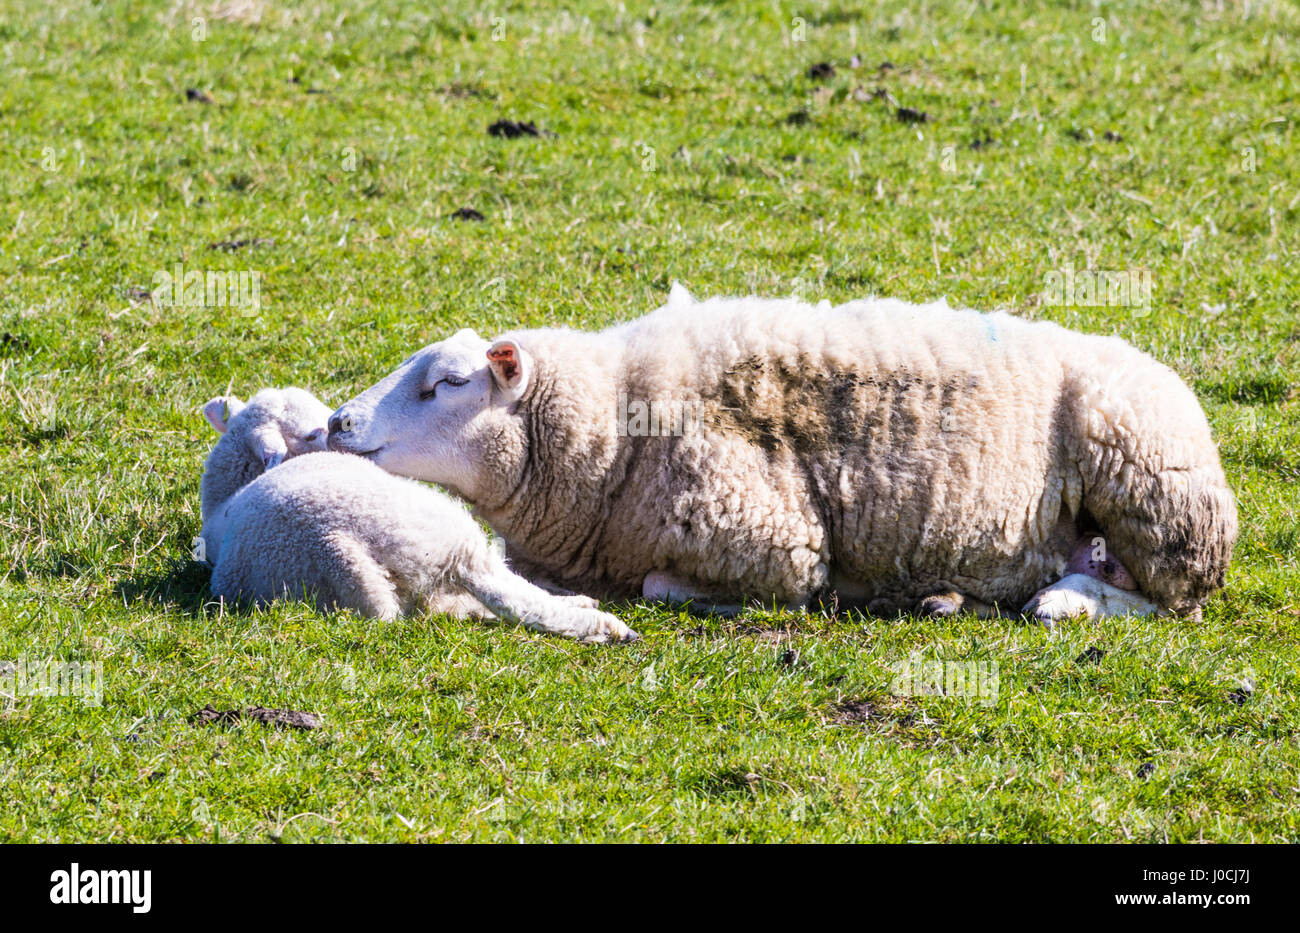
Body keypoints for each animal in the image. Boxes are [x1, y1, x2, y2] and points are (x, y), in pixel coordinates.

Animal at [198, 387, 637, 643]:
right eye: (310, 434)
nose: (339, 427)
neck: (223, 504)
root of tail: (338, 545)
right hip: (451, 535)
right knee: (514, 596)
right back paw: (600, 621)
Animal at [327, 285, 1238, 623]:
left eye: (446, 383)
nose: (337, 422)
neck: (614, 430)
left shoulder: (777, 540)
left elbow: (662, 584)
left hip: (1160, 499)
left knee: (1168, 599)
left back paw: (1061, 601)